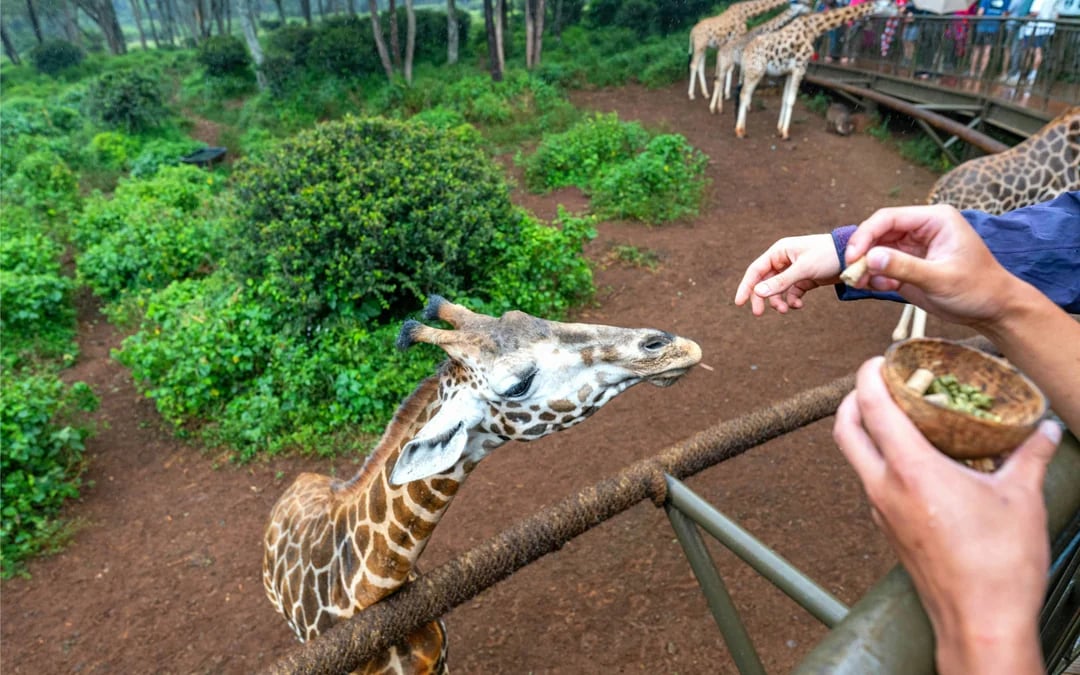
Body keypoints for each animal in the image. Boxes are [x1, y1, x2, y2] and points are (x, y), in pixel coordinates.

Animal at [734, 0, 894, 139]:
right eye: (890, 4)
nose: (900, 11)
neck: (814, 29)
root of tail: (745, 53)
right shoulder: (800, 68)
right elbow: (791, 100)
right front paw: (786, 134)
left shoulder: (790, 71)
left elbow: (785, 99)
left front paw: (779, 129)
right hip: (756, 71)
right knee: (745, 94)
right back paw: (741, 131)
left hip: (749, 71)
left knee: (741, 92)